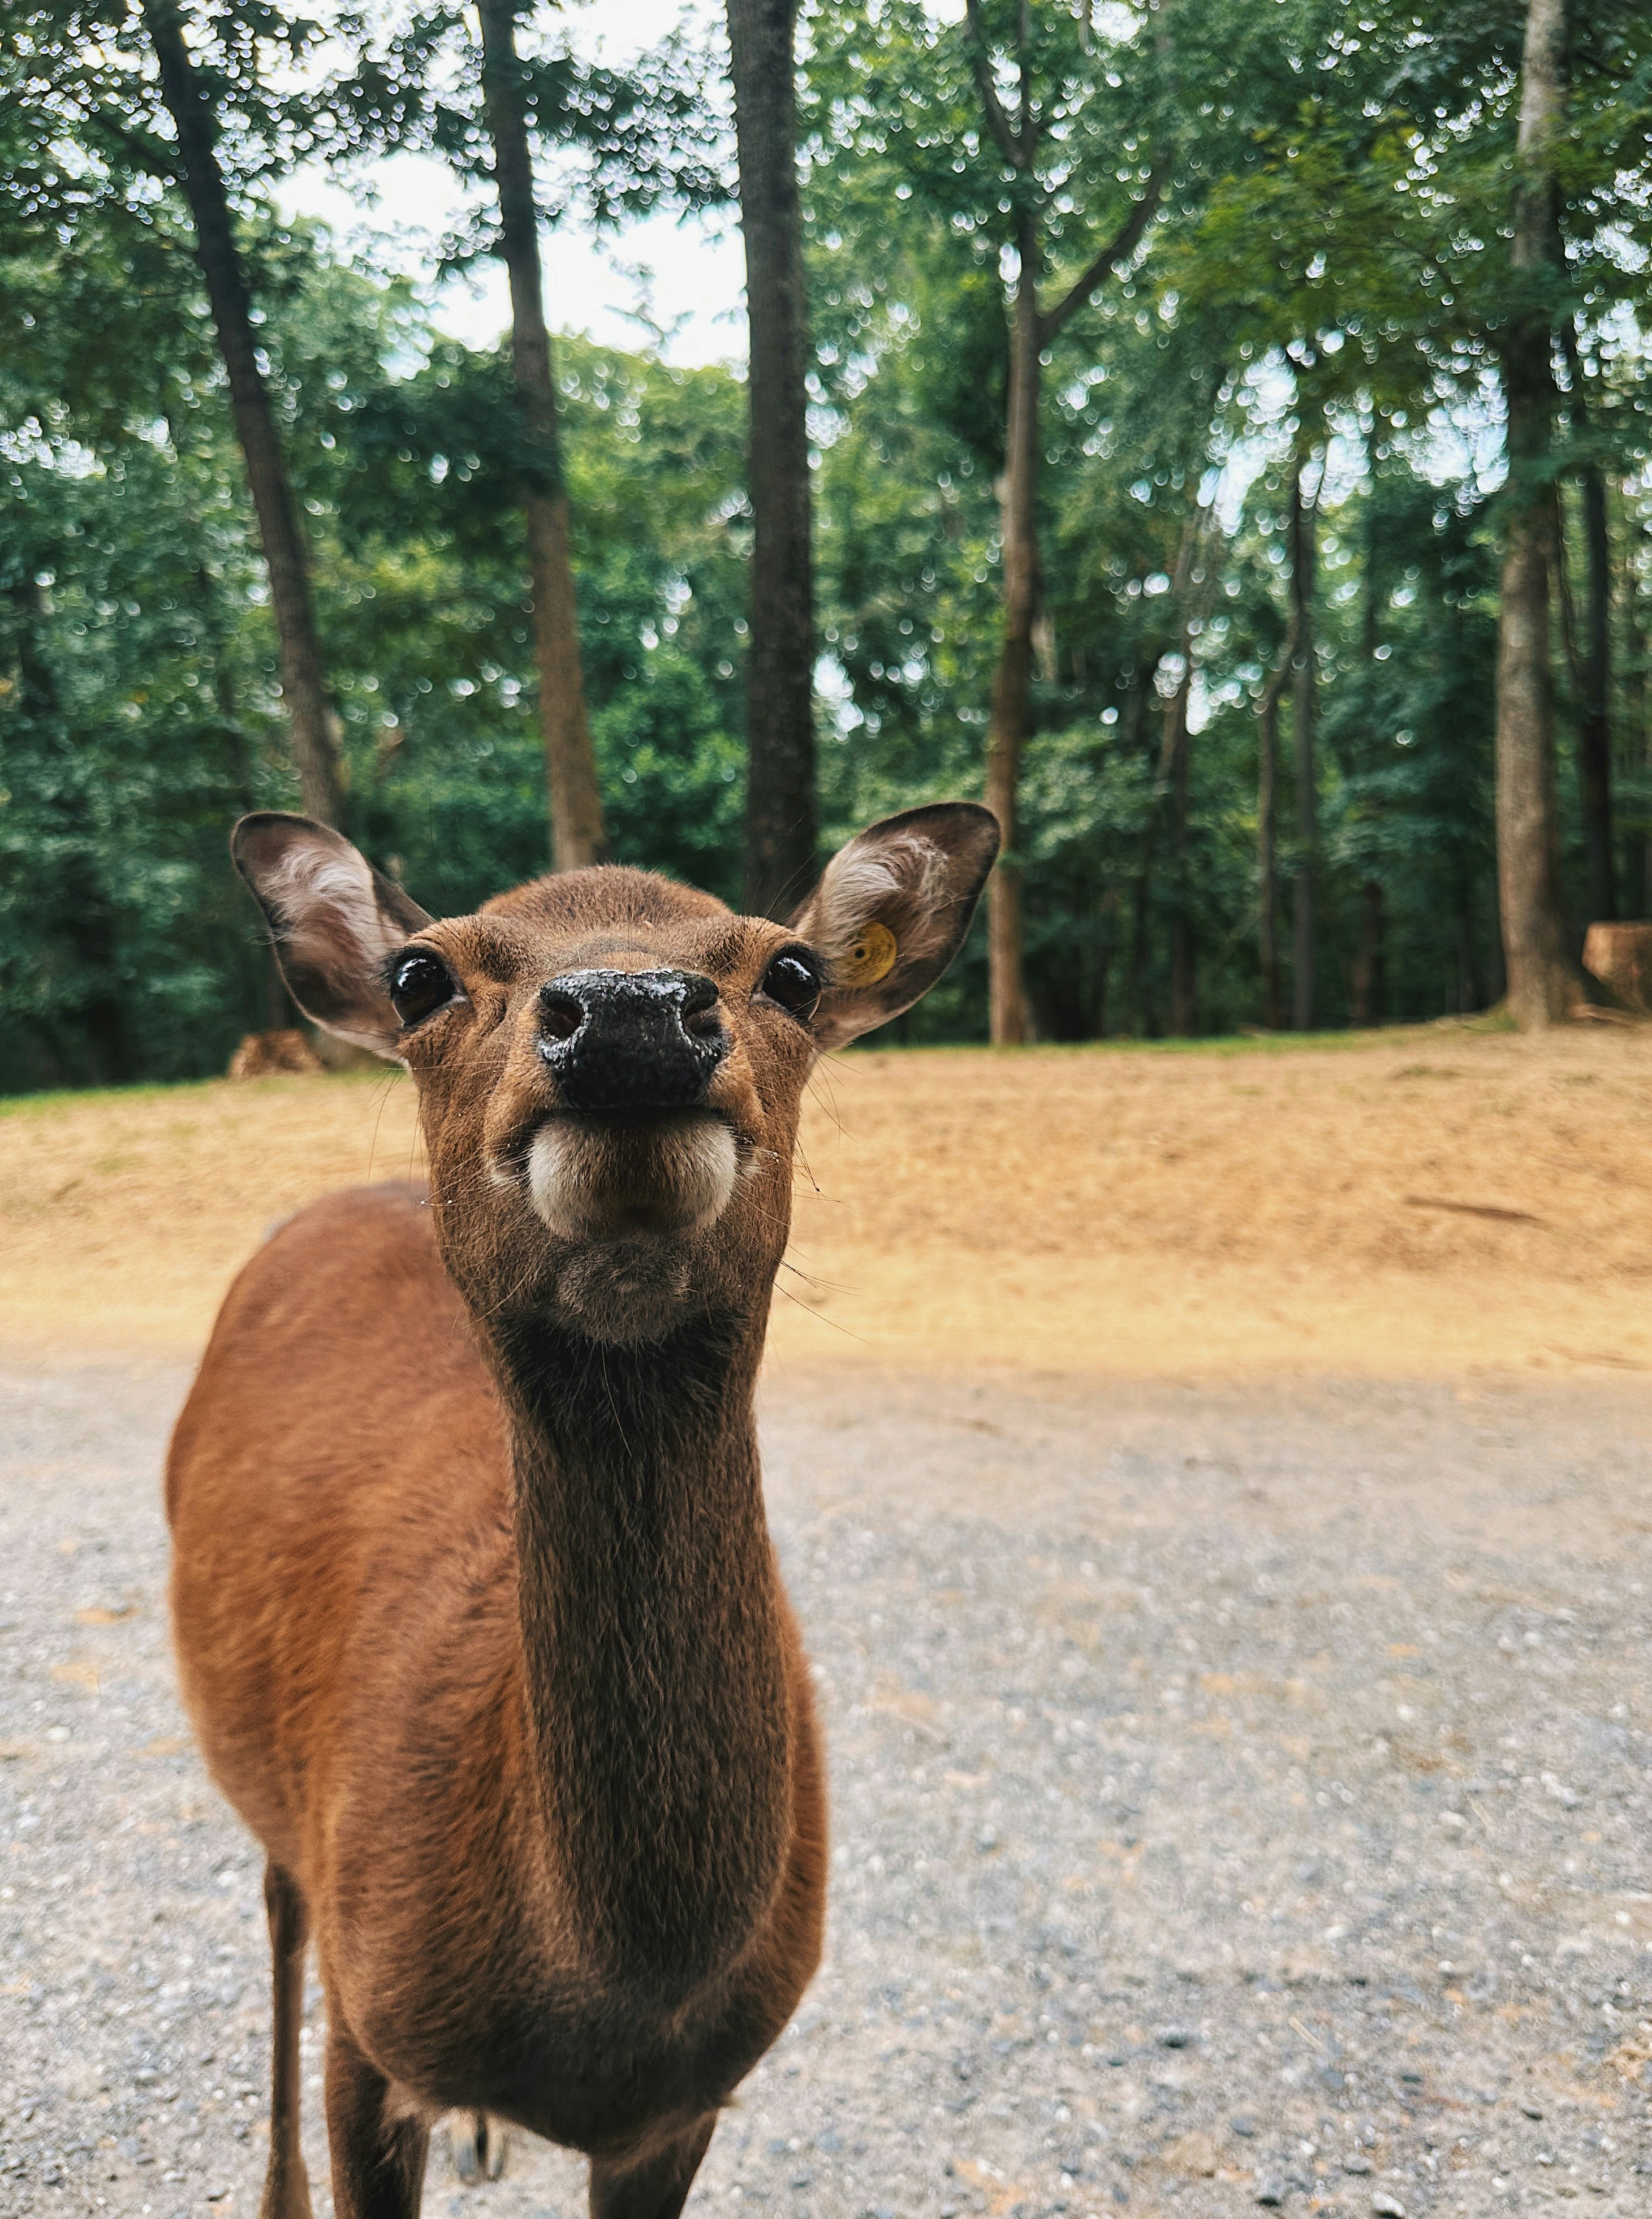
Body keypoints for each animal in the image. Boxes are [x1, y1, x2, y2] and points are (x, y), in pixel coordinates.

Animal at [165, 801, 998, 2219]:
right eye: (421, 976)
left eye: (791, 972)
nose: (627, 1013)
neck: (607, 1993)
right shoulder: (367, 2027)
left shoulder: (684, 2107)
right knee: (278, 1904)